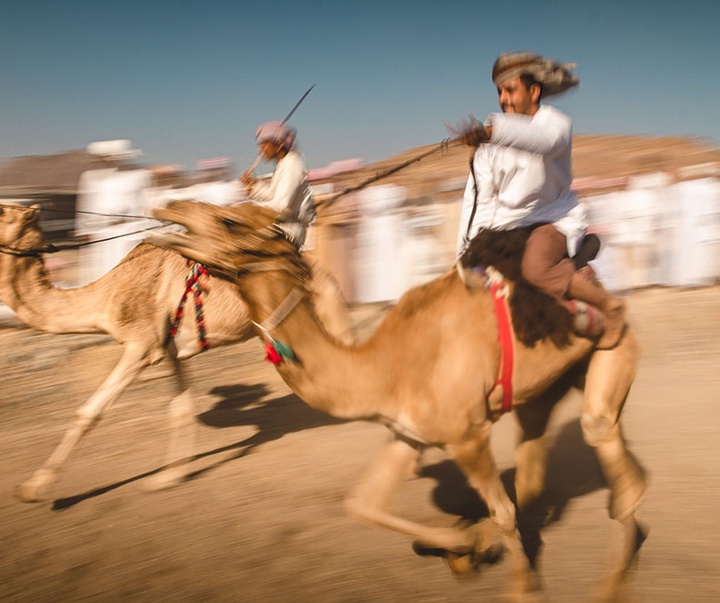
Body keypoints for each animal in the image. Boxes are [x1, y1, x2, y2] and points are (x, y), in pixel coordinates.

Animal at [0, 203, 354, 504]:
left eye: (3, 211)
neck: (107, 295)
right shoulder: (167, 348)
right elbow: (181, 409)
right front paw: (170, 477)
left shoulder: (141, 345)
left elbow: (89, 412)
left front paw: (34, 488)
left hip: (327, 306)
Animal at [150, 201, 648, 600]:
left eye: (228, 220)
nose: (168, 209)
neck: (383, 366)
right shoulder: (407, 433)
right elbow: (363, 505)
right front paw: (463, 546)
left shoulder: (466, 435)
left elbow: (503, 510)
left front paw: (516, 586)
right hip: (540, 393)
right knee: (542, 472)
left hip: (613, 353)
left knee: (607, 456)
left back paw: (610, 584)